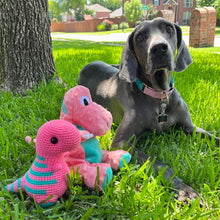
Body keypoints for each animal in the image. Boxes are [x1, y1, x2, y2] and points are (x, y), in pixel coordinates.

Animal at [78, 16, 219, 205]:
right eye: (139, 37)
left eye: (169, 28)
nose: (159, 48)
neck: (159, 97)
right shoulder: (121, 143)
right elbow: (158, 163)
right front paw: (185, 190)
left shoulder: (190, 127)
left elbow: (213, 138)